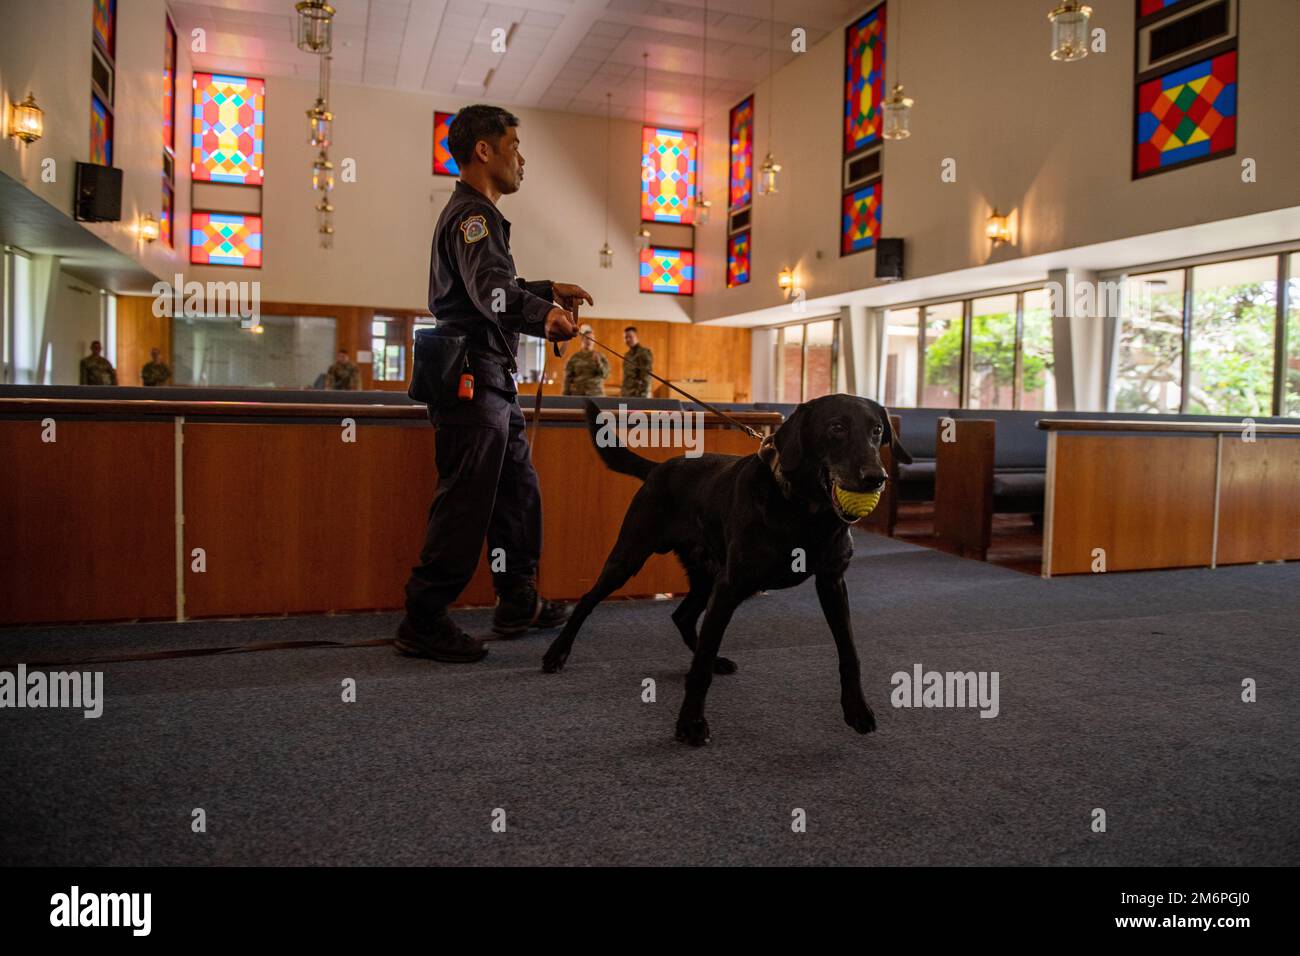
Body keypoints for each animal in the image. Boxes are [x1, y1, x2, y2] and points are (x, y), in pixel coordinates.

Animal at [540, 395, 915, 749]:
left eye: (877, 431)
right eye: (836, 427)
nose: (876, 478)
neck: (804, 509)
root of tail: (660, 467)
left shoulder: (832, 583)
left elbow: (849, 652)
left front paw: (857, 709)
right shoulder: (731, 585)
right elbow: (700, 665)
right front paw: (690, 723)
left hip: (706, 575)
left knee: (682, 616)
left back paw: (716, 659)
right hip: (632, 556)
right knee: (589, 600)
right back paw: (557, 653)